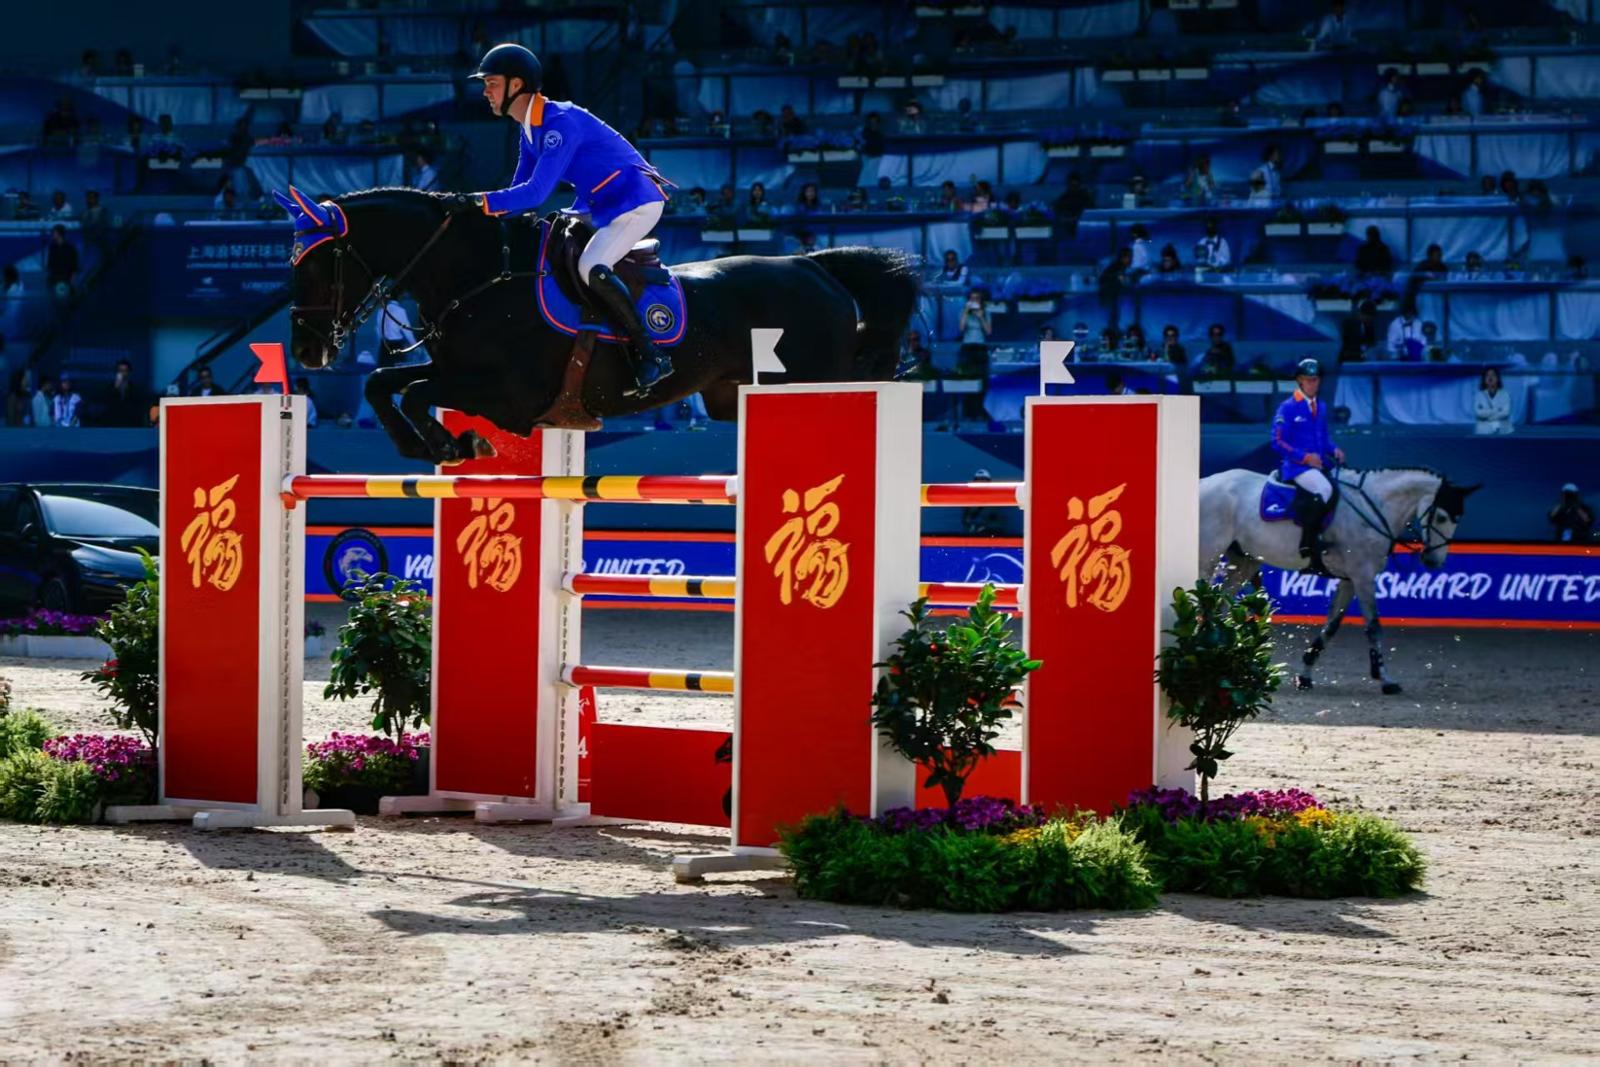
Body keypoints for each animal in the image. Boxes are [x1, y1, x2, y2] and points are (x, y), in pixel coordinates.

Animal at [275, 186, 920, 465]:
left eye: (316, 267)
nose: (307, 351)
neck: (477, 277)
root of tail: (813, 265)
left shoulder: (510, 396)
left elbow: (412, 392)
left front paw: (452, 443)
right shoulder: (456, 367)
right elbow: (383, 382)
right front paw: (428, 445)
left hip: (811, 379)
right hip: (735, 398)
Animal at [1199, 468, 1479, 694]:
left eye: (1457, 519)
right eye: (1441, 517)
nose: (1433, 561)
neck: (1374, 509)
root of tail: (1203, 483)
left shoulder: (1350, 579)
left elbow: (1332, 626)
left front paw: (1304, 675)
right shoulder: (1363, 576)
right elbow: (1374, 626)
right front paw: (1386, 679)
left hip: (1244, 561)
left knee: (1219, 605)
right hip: (1208, 556)